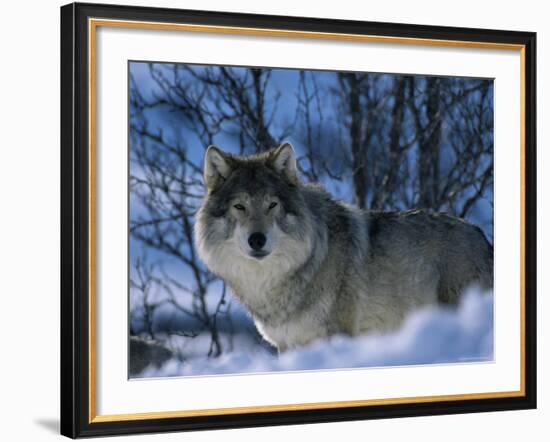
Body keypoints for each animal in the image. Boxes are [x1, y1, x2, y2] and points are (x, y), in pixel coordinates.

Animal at [195, 144, 496, 352]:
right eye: (239, 206)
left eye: (272, 205)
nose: (257, 240)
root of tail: (482, 236)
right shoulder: (287, 345)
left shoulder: (337, 335)